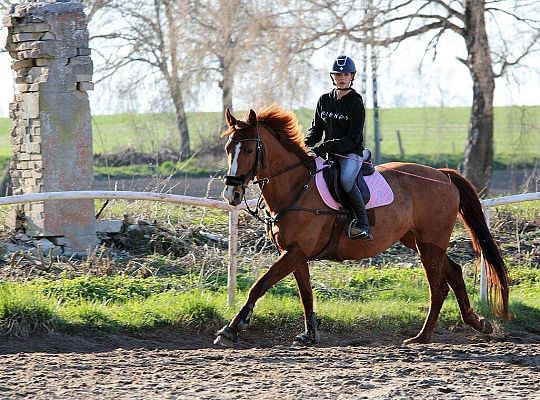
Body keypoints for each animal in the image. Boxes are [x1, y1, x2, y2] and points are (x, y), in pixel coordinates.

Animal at [213, 106, 508, 346]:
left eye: (248, 150)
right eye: (228, 150)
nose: (231, 194)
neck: (297, 186)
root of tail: (442, 176)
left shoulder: (295, 252)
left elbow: (260, 285)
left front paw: (232, 328)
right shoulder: (295, 253)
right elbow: (305, 293)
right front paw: (310, 334)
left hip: (430, 244)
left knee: (438, 287)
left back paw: (423, 337)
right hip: (419, 241)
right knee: (454, 273)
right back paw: (478, 323)